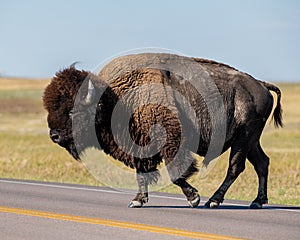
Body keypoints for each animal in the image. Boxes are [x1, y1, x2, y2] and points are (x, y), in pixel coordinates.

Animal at [43, 53, 282, 208]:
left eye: (72, 111)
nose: (54, 135)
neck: (114, 99)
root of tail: (261, 85)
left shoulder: (169, 143)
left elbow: (176, 173)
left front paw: (194, 198)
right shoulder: (139, 147)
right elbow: (142, 174)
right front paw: (137, 200)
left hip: (243, 138)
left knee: (235, 167)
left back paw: (213, 201)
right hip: (250, 141)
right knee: (262, 163)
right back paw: (257, 202)